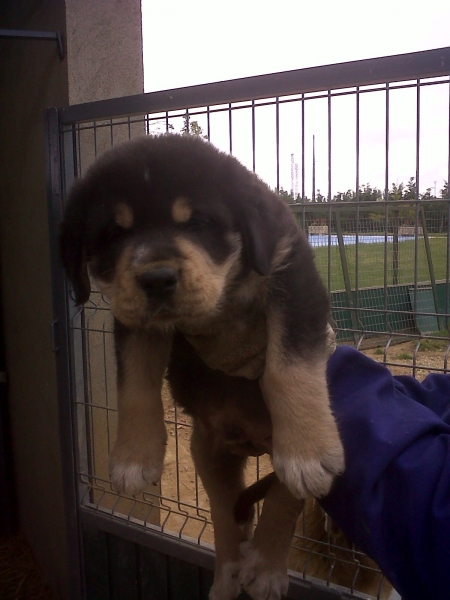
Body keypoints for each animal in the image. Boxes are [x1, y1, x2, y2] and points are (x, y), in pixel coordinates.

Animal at [59, 135, 344, 600]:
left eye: (198, 223)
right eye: (115, 233)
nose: (156, 279)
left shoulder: (291, 271)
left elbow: (289, 366)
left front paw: (307, 451)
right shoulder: (132, 318)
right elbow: (134, 383)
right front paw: (133, 458)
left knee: (283, 497)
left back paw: (265, 567)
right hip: (207, 451)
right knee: (229, 518)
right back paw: (228, 575)